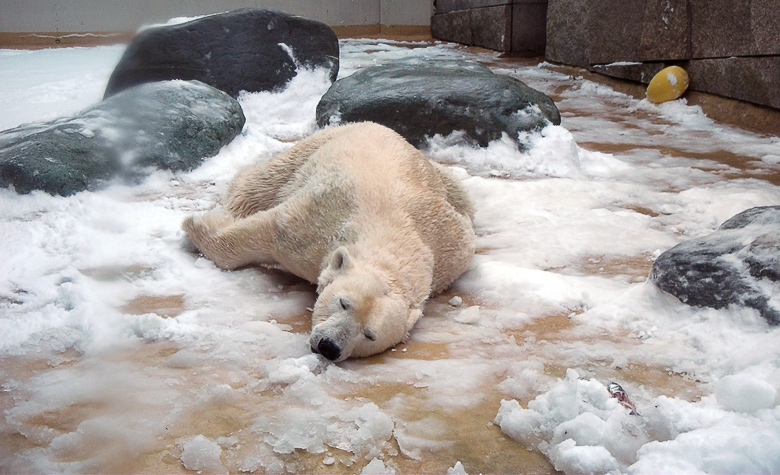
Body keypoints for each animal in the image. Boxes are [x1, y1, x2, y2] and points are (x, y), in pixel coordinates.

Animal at [183, 122, 476, 360]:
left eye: (370, 335)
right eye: (344, 303)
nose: (329, 346)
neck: (392, 231)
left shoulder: (451, 253)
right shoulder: (315, 222)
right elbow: (269, 227)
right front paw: (196, 225)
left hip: (446, 182)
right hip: (311, 149)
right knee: (257, 184)